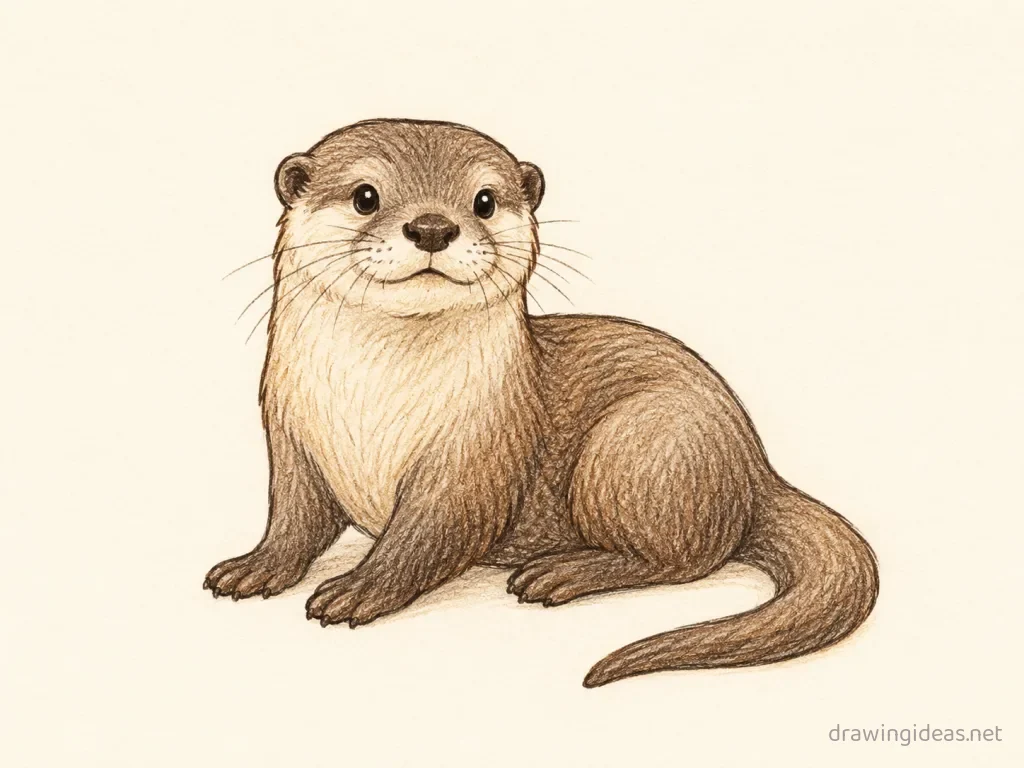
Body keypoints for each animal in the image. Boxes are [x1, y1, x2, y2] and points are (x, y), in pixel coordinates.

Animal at [204, 119, 879, 687]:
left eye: (484, 200)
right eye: (365, 196)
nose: (432, 227)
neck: (370, 404)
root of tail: (755, 467)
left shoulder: (477, 455)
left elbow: (425, 535)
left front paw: (359, 589)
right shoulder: (292, 432)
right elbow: (294, 517)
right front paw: (255, 567)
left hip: (646, 444)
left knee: (687, 557)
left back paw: (562, 572)